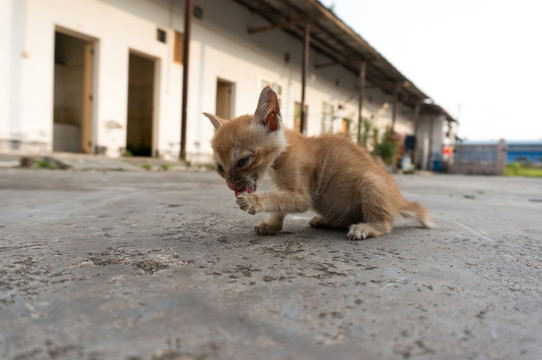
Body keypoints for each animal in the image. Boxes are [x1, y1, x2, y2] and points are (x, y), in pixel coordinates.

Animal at [206, 86, 436, 240]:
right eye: (220, 168)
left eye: (243, 161)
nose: (231, 184)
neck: (285, 151)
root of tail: (397, 199)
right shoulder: (286, 188)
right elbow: (281, 202)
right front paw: (272, 225)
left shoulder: (301, 195)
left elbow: (279, 198)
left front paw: (254, 202)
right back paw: (325, 221)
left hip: (371, 182)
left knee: (386, 224)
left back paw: (365, 228)